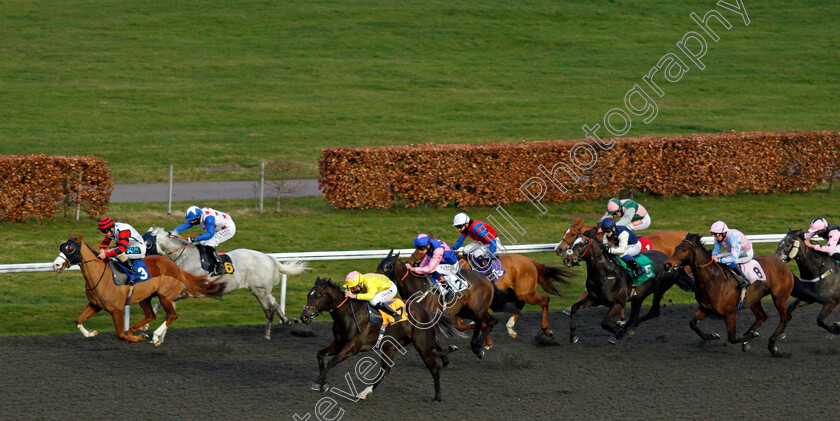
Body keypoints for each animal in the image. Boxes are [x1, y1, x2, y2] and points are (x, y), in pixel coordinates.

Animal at [51, 235, 223, 346]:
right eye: (61, 247)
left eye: (70, 249)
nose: (56, 265)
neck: (101, 275)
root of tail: (178, 268)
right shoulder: (95, 305)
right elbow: (78, 321)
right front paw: (91, 333)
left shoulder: (116, 309)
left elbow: (120, 334)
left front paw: (137, 338)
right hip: (145, 298)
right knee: (151, 315)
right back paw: (136, 330)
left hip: (165, 297)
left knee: (172, 315)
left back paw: (155, 336)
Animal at [300, 276, 456, 400]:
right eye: (308, 295)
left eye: (318, 296)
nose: (304, 317)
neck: (348, 314)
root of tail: (428, 313)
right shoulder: (339, 342)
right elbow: (320, 354)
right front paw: (323, 384)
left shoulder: (353, 346)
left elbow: (333, 361)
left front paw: (317, 382)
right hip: (390, 346)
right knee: (385, 371)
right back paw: (365, 392)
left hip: (421, 346)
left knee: (434, 368)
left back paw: (438, 396)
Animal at [556, 228, 688, 342]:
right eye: (574, 242)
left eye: (582, 244)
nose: (567, 259)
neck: (605, 274)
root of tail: (671, 261)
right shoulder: (594, 299)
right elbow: (574, 308)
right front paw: (573, 335)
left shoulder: (618, 303)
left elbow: (604, 323)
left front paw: (617, 332)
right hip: (639, 296)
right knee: (634, 316)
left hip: (660, 288)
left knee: (653, 312)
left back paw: (625, 330)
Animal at [664, 233, 796, 358]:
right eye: (676, 248)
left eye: (684, 249)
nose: (667, 264)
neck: (712, 279)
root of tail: (783, 264)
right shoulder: (705, 308)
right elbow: (692, 324)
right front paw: (712, 335)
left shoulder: (731, 313)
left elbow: (732, 338)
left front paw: (751, 336)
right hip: (753, 300)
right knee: (762, 316)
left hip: (779, 298)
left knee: (785, 317)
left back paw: (773, 346)